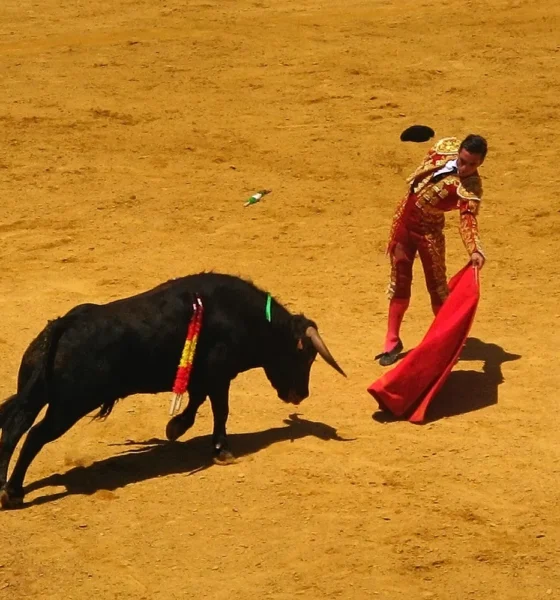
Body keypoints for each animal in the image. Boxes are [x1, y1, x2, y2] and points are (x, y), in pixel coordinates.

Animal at [0, 274, 346, 508]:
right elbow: (220, 410)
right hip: (68, 406)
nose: (300, 395)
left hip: (37, 395)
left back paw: (7, 488)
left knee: (13, 428)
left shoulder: (204, 378)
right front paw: (222, 450)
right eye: (306, 356)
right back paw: (14, 492)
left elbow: (196, 403)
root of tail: (65, 324)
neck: (248, 318)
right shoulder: (219, 376)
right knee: (34, 435)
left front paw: (175, 427)